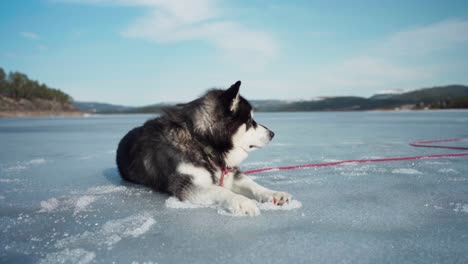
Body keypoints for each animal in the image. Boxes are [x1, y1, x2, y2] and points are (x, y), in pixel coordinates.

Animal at [116, 81, 290, 216]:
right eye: (249, 121)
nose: (272, 134)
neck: (202, 142)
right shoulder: (187, 184)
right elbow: (221, 191)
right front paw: (243, 202)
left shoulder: (229, 173)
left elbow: (253, 185)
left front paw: (274, 194)